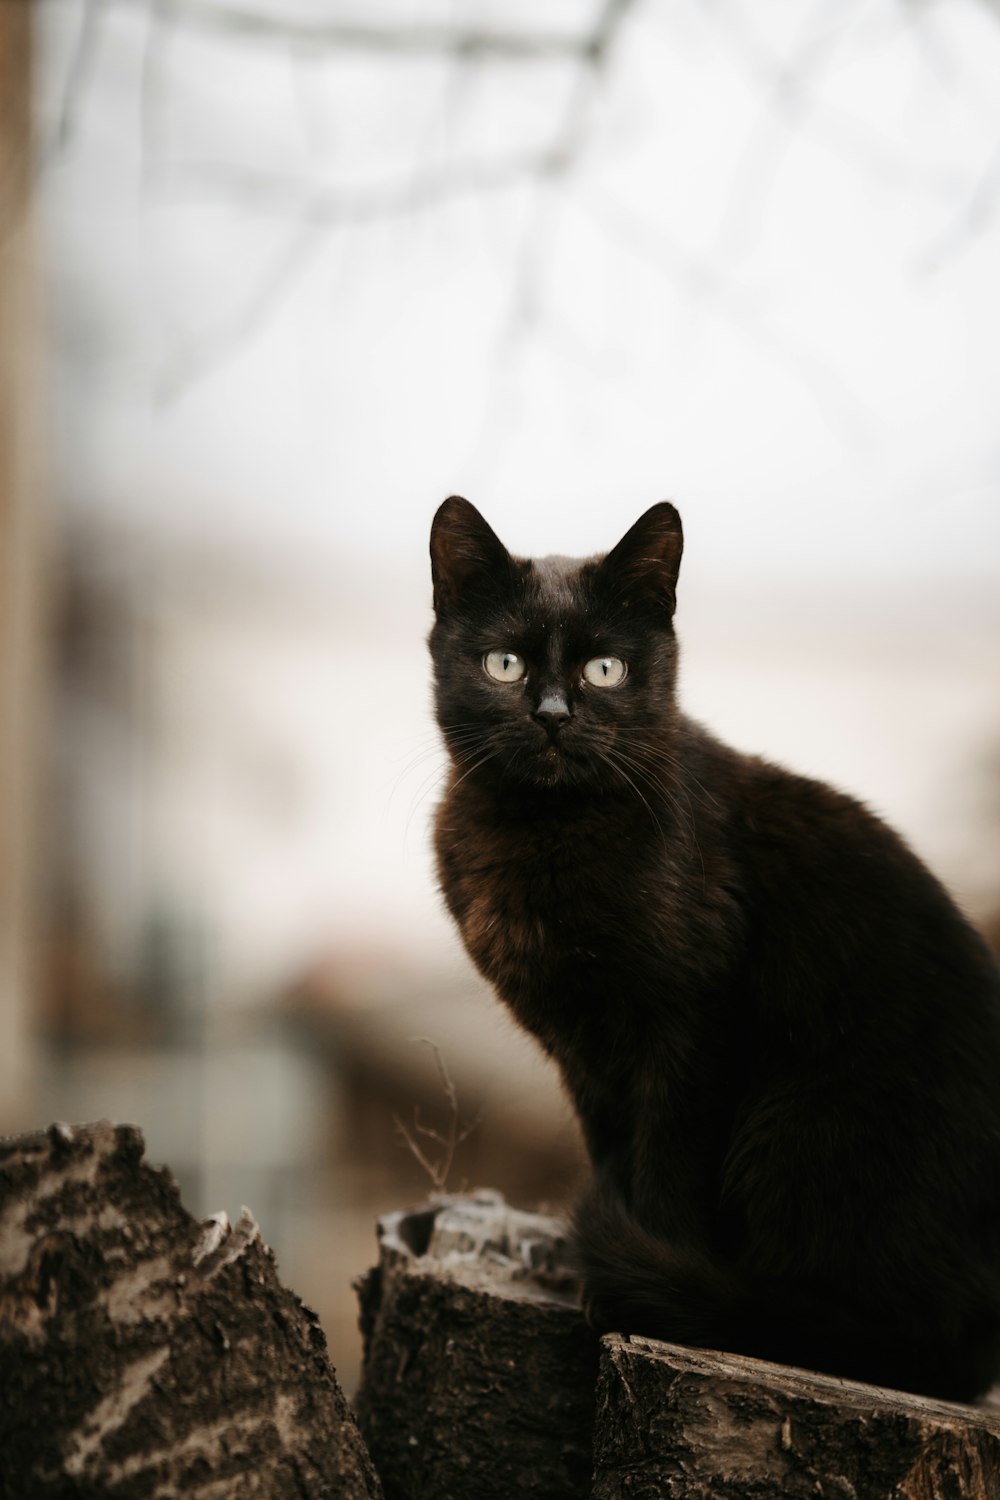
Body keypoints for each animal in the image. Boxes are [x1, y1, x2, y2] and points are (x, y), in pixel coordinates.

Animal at [425, 498, 1000, 1398]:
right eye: (505, 663)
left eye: (604, 670)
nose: (552, 715)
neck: (543, 834)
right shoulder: (584, 1055)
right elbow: (616, 1154)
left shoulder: (693, 1025)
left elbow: (665, 1160)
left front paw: (635, 1289)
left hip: (797, 1124)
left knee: (915, 1346)